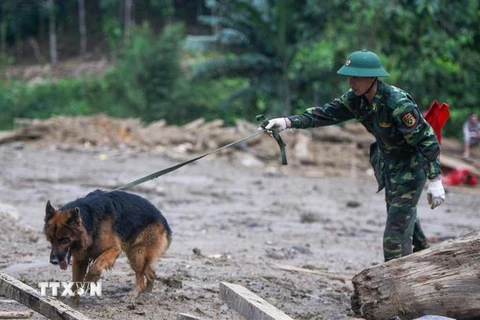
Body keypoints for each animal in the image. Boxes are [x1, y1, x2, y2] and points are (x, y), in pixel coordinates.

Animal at [43, 190, 171, 304]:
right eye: (50, 239)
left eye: (64, 240)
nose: (53, 261)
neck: (89, 220)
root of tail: (164, 221)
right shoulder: (80, 259)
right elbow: (75, 283)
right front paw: (72, 305)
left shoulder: (113, 249)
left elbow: (95, 267)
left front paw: (89, 282)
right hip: (135, 255)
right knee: (150, 273)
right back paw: (146, 292)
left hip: (137, 254)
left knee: (141, 279)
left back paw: (133, 296)